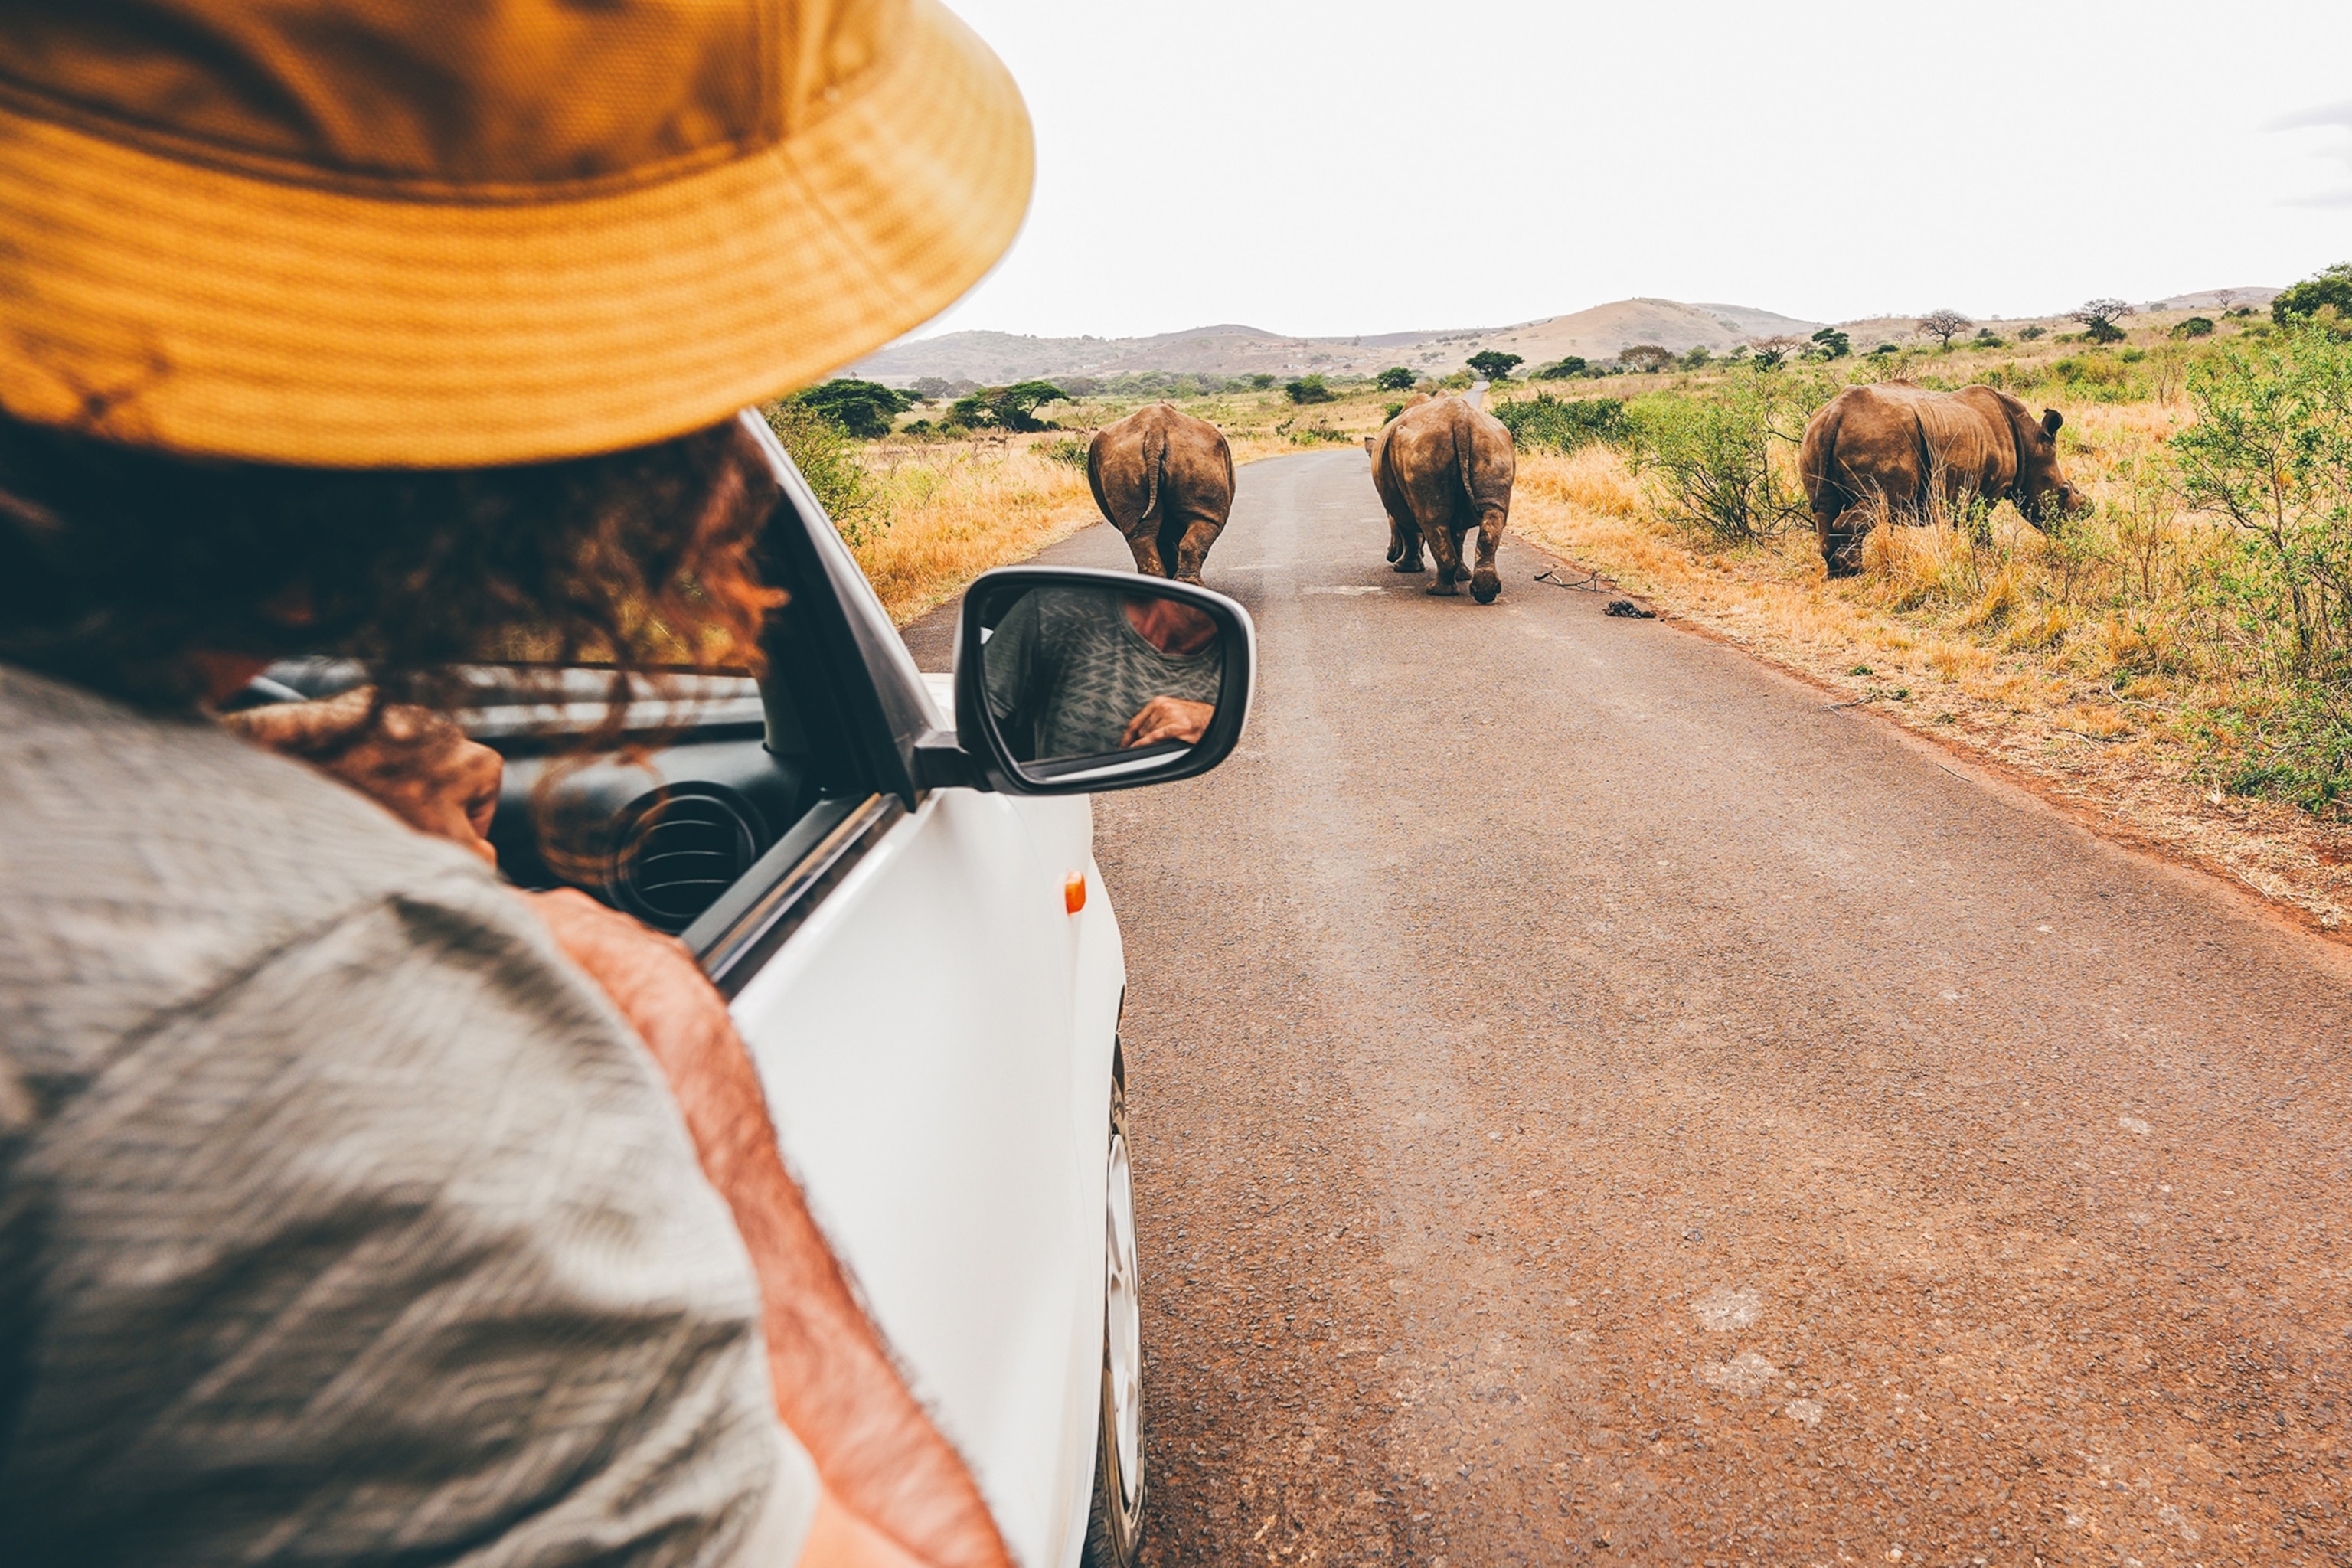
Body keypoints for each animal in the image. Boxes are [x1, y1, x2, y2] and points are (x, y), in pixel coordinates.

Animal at [1369, 395, 1515, 602]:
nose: (1390, 555)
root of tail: (1460, 418)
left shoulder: (1397, 505)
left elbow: (1408, 531)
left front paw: (1404, 569)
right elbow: (1458, 537)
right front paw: (1462, 576)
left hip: (1423, 449)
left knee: (1432, 521)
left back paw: (1436, 591)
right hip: (1494, 443)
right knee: (1494, 512)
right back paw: (1485, 594)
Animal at [1799, 382, 2080, 576]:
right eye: (2064, 491)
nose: (2074, 529)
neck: (2030, 444)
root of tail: (1836, 413)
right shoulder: (1989, 490)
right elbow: (1979, 525)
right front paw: (1989, 557)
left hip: (1814, 435)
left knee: (1824, 508)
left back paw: (1836, 572)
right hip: (1878, 436)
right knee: (1879, 503)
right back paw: (1856, 571)